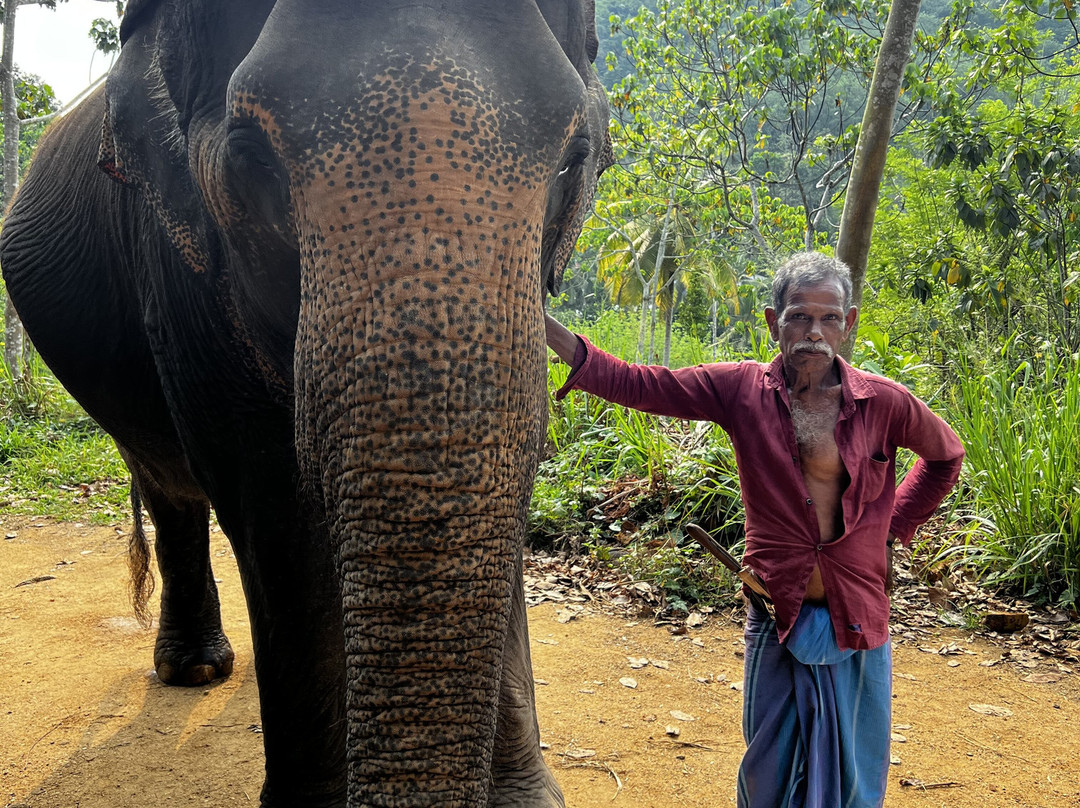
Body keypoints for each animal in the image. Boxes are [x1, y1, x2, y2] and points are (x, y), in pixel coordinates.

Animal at [0, 1, 611, 805]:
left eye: (575, 159)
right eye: (248, 156)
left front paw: (523, 801)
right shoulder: (179, 267)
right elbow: (273, 504)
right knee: (170, 487)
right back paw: (196, 669)